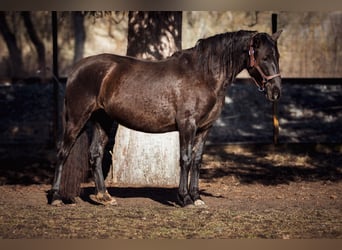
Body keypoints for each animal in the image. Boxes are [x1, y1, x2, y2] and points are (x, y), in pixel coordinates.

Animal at [48, 29, 284, 207]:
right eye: (264, 57)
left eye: (277, 57)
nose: (276, 91)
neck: (203, 75)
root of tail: (77, 68)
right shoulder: (187, 125)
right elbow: (185, 159)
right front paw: (185, 199)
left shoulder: (205, 128)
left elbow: (197, 160)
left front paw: (197, 197)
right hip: (77, 119)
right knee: (62, 152)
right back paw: (56, 197)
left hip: (102, 120)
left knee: (95, 155)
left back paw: (104, 197)